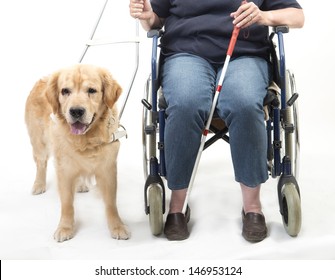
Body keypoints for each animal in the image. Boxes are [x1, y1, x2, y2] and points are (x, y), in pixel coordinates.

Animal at [24, 64, 130, 242]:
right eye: (65, 91)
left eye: (92, 90)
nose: (76, 111)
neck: (85, 140)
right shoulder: (64, 170)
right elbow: (67, 204)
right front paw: (65, 228)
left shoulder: (108, 169)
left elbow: (111, 203)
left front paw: (117, 226)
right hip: (39, 142)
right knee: (41, 163)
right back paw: (39, 185)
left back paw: (80, 185)